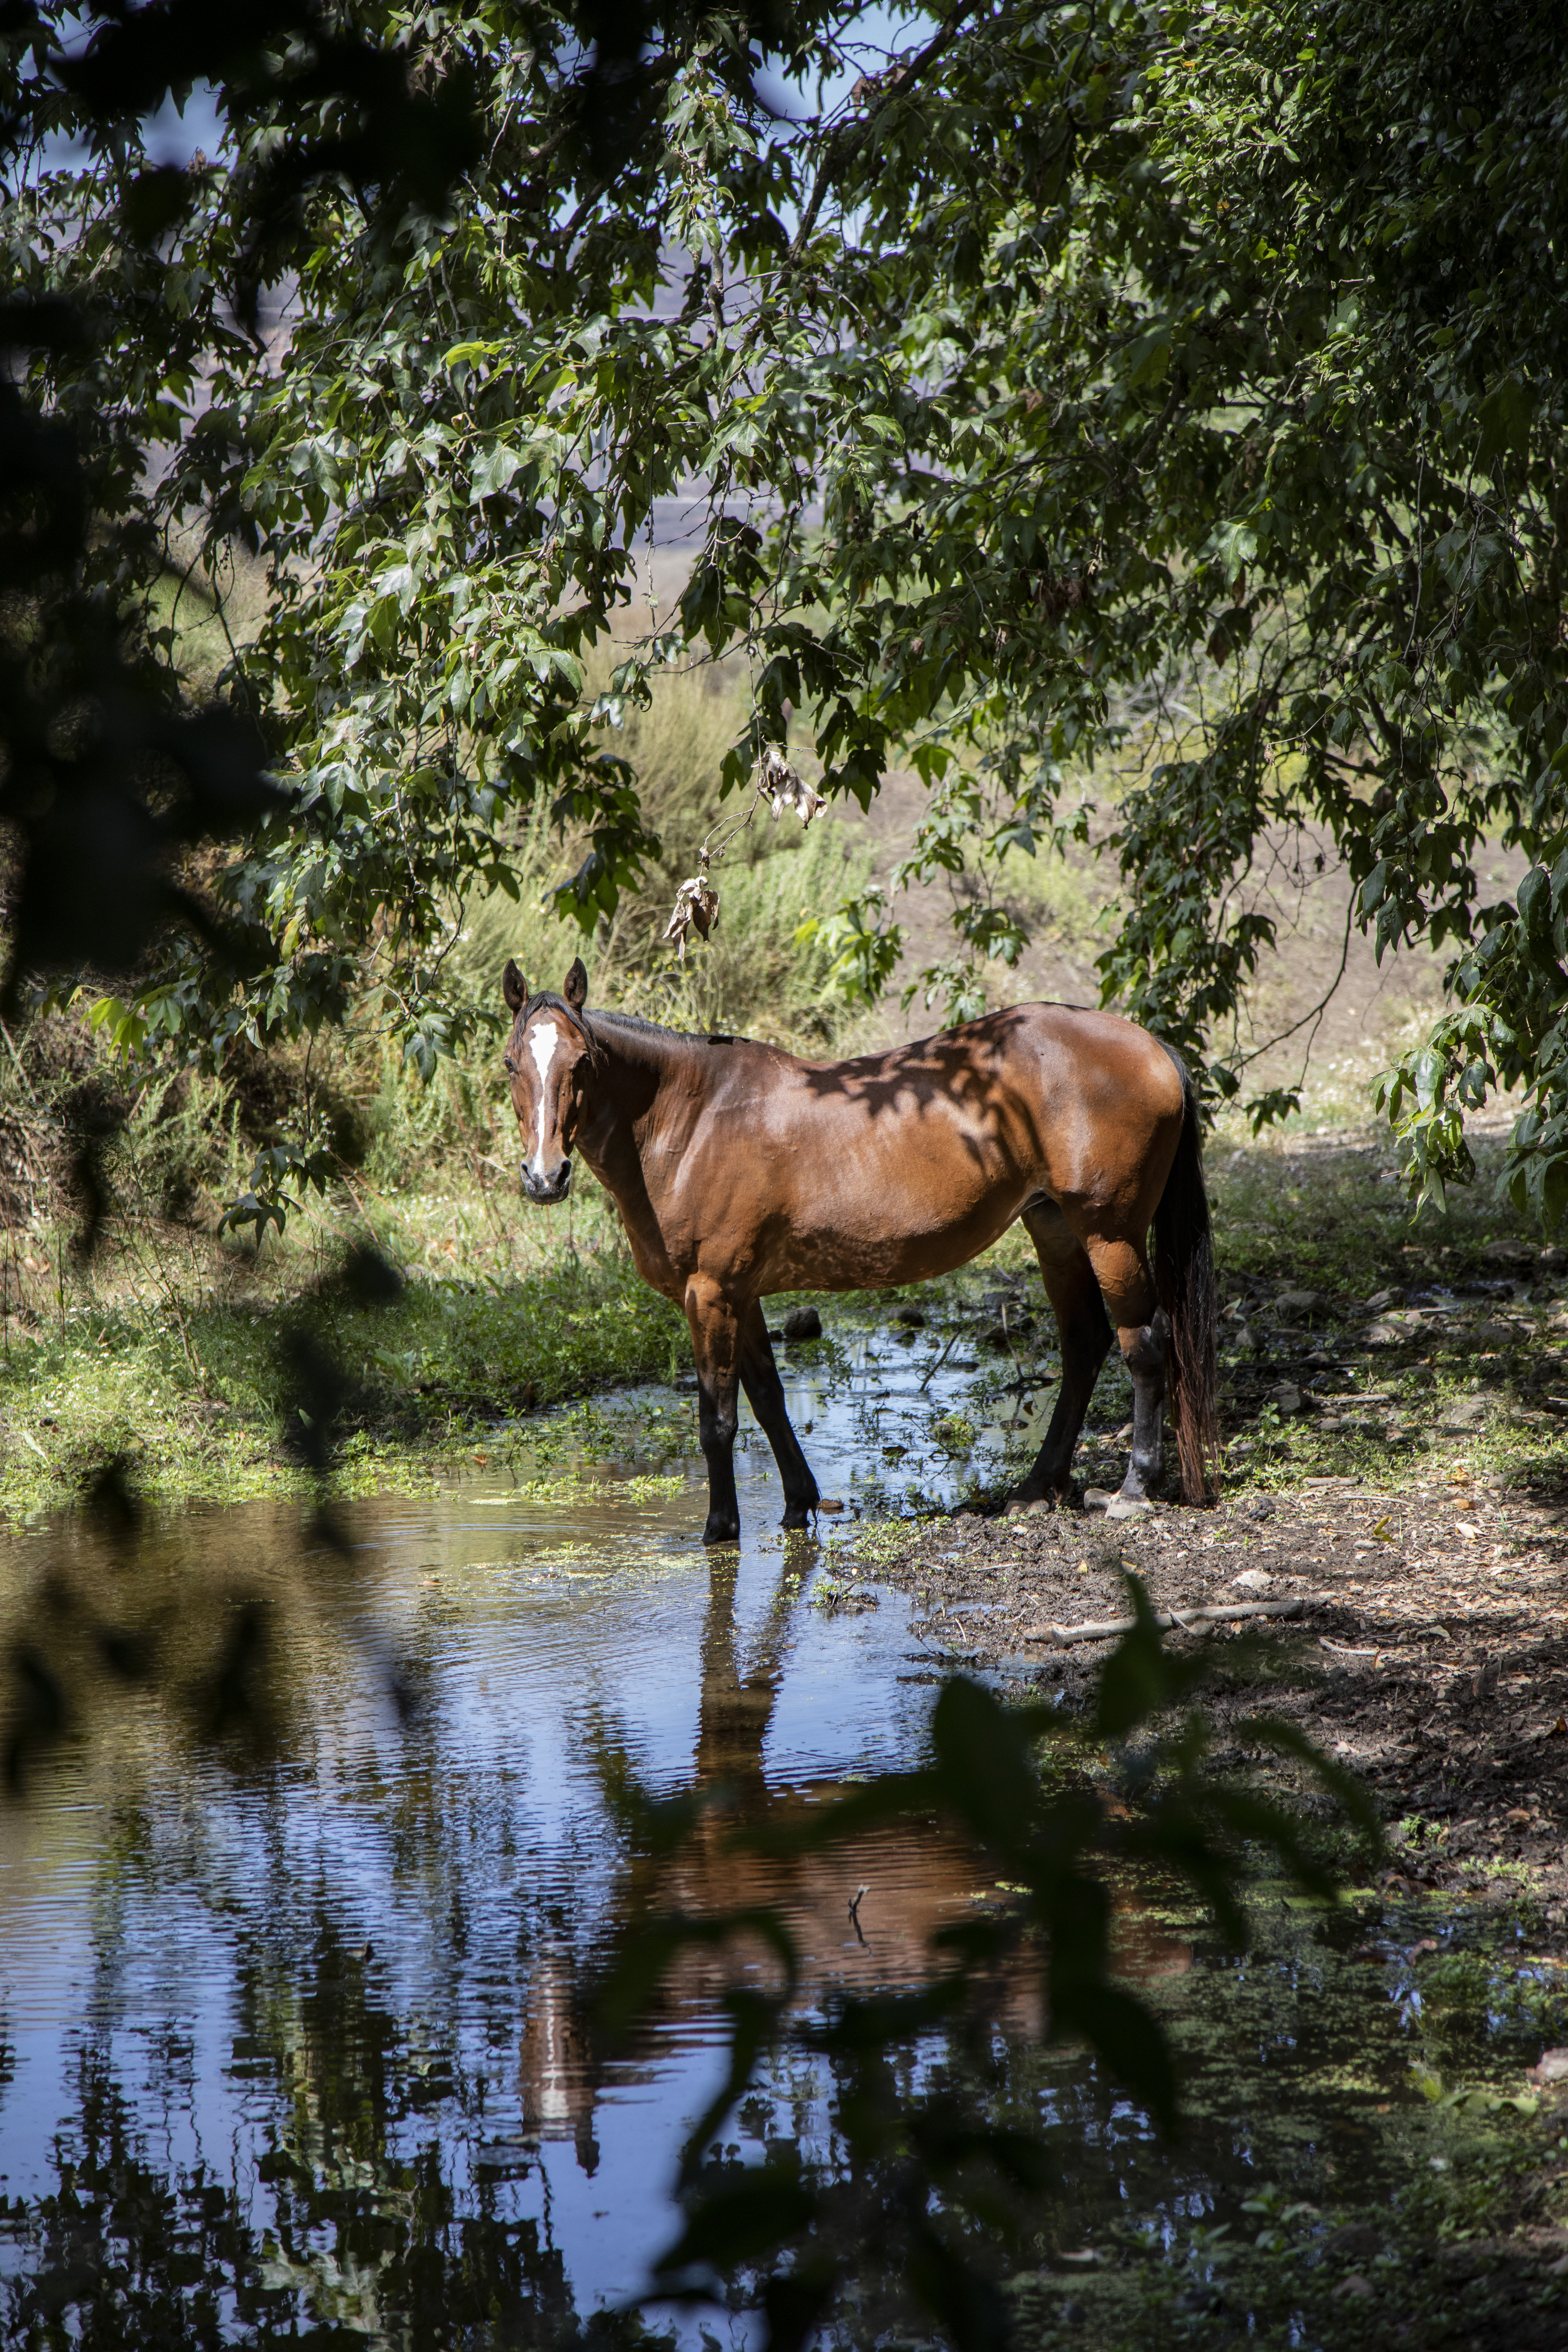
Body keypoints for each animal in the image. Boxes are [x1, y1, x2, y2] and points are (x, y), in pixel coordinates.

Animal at [501, 956, 1218, 1543]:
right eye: (512, 1064)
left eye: (582, 1063)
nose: (544, 1176)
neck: (695, 1120)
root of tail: (1151, 1046)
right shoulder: (742, 1294)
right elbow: (768, 1398)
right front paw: (798, 1505)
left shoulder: (710, 1293)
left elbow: (718, 1419)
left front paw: (720, 1530)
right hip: (1056, 1230)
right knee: (1084, 1345)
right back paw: (1037, 1488)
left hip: (1109, 1235)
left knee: (1143, 1346)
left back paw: (1133, 1488)